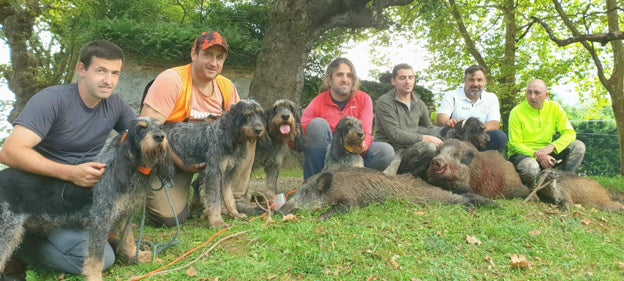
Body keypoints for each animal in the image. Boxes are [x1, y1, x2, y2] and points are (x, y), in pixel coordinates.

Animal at [0, 117, 173, 280]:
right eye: (140, 129)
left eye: (160, 127)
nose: (160, 136)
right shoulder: (100, 221)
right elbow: (97, 257)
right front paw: (95, 276)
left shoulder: (124, 215)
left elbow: (128, 239)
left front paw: (136, 256)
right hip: (7, 231)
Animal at [166, 99, 266, 229]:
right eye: (246, 115)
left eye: (260, 113)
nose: (259, 130)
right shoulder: (213, 172)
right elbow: (214, 199)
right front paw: (217, 221)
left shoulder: (227, 174)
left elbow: (228, 196)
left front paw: (234, 213)